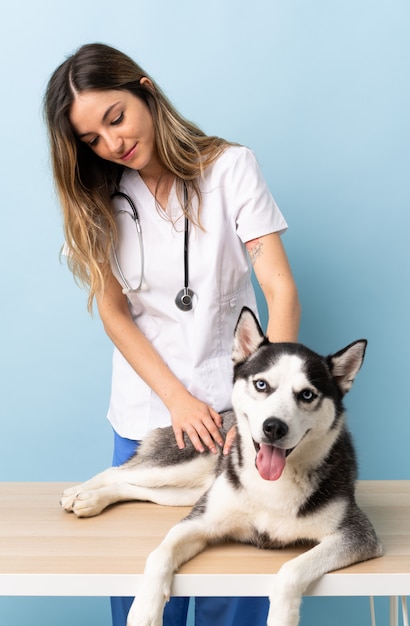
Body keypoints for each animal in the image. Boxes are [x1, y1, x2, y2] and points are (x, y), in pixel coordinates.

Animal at [60, 304, 382, 620]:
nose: (273, 427)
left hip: (185, 492)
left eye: (306, 394)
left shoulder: (357, 535)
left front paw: (282, 616)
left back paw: (91, 500)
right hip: (182, 466)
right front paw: (144, 610)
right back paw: (79, 493)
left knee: (133, 487)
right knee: (118, 471)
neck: (272, 484)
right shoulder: (201, 521)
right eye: (261, 384)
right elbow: (159, 554)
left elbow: (291, 570)